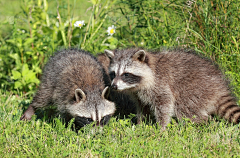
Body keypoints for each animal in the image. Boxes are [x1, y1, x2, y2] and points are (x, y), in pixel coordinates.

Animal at [105, 48, 240, 130]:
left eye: (126, 74)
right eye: (113, 74)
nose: (114, 86)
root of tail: (220, 86)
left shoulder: (160, 84)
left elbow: (165, 104)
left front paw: (162, 127)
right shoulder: (139, 94)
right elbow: (143, 107)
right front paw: (140, 124)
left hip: (196, 89)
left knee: (184, 108)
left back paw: (202, 123)